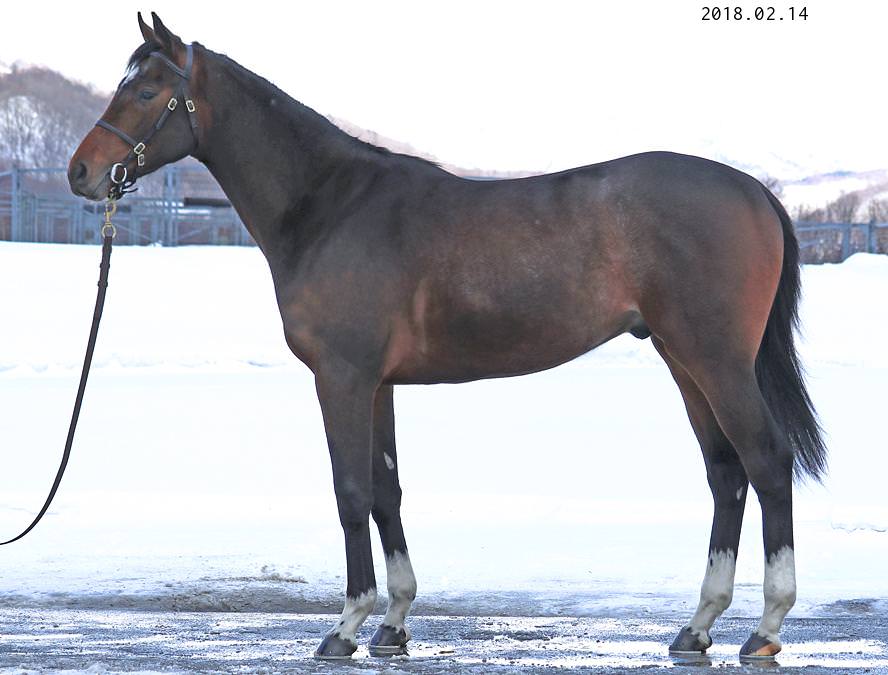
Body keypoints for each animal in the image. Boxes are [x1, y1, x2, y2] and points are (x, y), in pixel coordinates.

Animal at [69, 13, 824, 664]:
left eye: (145, 90)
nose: (81, 172)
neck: (331, 205)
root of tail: (755, 192)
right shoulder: (376, 384)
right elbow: (386, 491)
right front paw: (395, 622)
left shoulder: (341, 377)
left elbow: (350, 491)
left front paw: (346, 626)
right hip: (683, 360)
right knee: (726, 474)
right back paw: (696, 627)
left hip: (717, 361)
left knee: (765, 461)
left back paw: (765, 627)